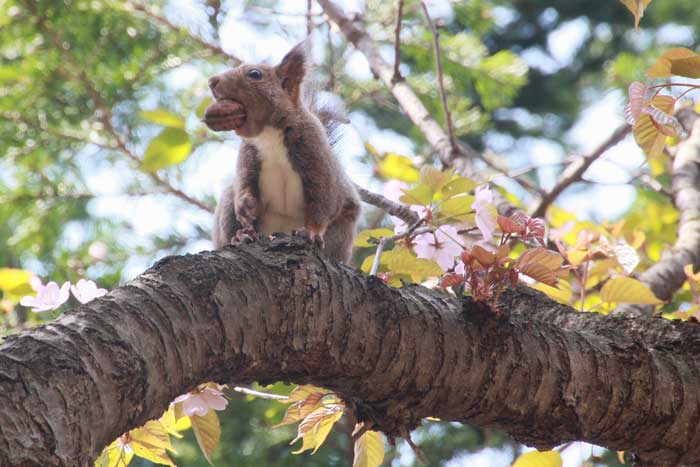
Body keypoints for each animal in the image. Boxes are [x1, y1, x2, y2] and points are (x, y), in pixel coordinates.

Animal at [201, 41, 358, 264]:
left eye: (255, 74)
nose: (212, 81)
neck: (269, 135)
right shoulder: (248, 154)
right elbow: (245, 182)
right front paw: (245, 204)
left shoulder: (316, 155)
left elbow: (323, 202)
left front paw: (311, 232)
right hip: (227, 206)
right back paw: (242, 235)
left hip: (342, 231)